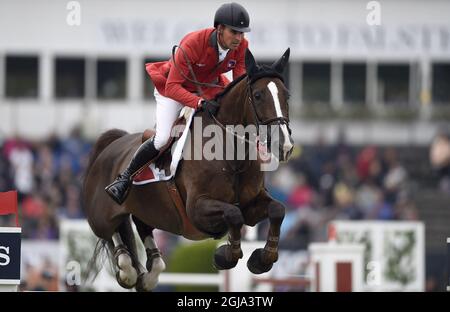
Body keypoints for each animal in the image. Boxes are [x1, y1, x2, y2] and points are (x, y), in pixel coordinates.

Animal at [82, 48, 294, 290]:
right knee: (112, 233)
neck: (232, 156)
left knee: (142, 233)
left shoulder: (251, 205)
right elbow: (234, 214)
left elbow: (276, 210)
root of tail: (110, 146)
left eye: (287, 95)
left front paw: (262, 260)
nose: (284, 145)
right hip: (101, 215)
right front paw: (224, 256)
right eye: (258, 95)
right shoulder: (197, 208)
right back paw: (126, 268)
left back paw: (148, 273)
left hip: (147, 211)